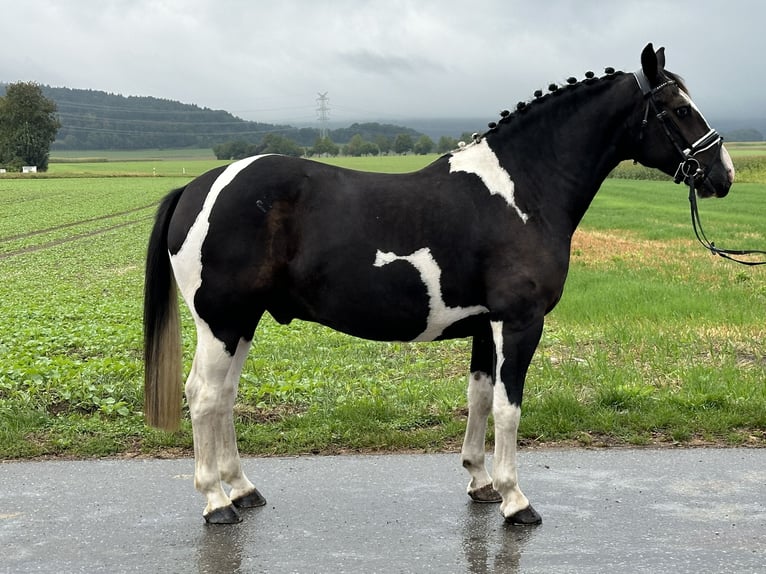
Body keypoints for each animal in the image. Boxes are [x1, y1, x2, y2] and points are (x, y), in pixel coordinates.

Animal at [141, 42, 736, 524]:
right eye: (679, 109)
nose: (724, 174)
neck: (522, 190)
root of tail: (197, 187)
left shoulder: (484, 326)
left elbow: (479, 398)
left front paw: (481, 482)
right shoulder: (519, 323)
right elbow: (508, 407)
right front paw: (516, 500)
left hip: (243, 321)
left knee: (223, 396)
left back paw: (242, 490)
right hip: (222, 321)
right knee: (205, 396)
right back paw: (216, 503)